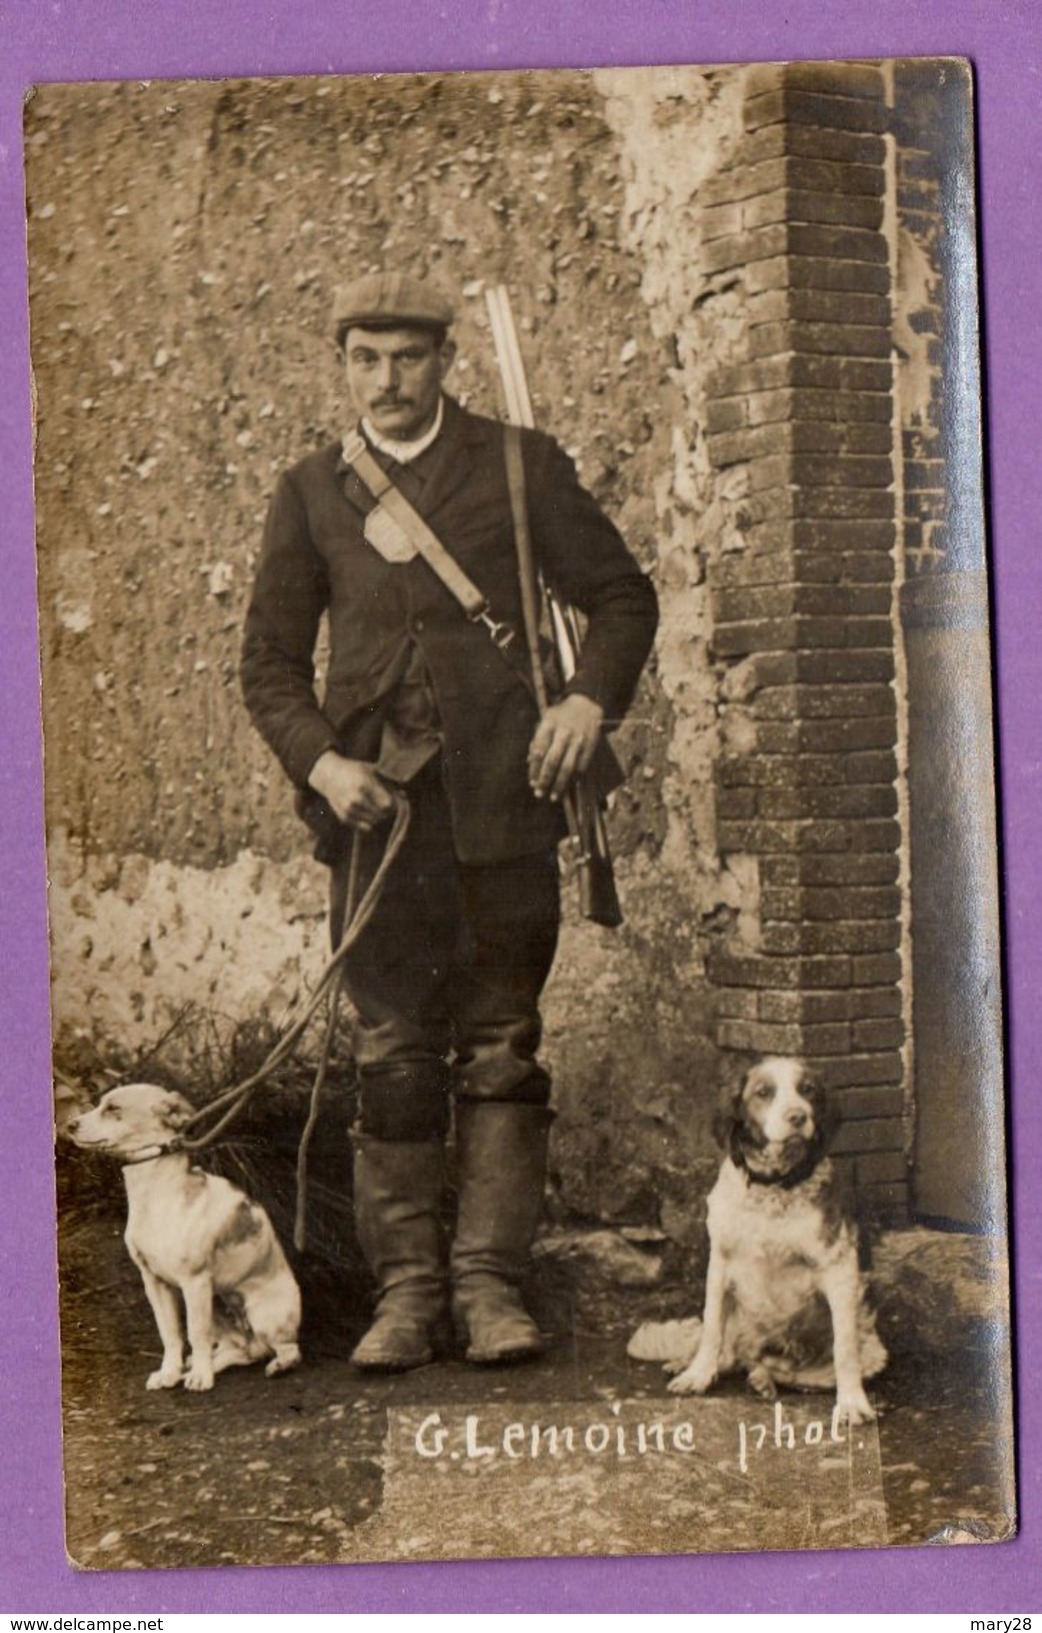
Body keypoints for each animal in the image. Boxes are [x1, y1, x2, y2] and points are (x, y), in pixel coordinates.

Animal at [68, 1084, 302, 1391]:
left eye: (113, 1109)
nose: (69, 1125)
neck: (156, 1196)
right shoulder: (154, 1283)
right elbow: (170, 1334)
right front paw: (169, 1372)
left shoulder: (195, 1283)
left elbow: (195, 1333)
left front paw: (201, 1377)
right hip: (217, 1305)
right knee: (242, 1350)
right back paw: (200, 1366)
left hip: (260, 1314)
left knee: (286, 1350)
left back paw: (272, 1365)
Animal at [633, 1064, 888, 1423]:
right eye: (763, 1093)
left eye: (807, 1089)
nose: (798, 1116)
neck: (774, 1185)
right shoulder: (720, 1263)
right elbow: (711, 1328)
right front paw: (697, 1375)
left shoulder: (839, 1267)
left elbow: (845, 1349)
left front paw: (852, 1402)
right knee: (727, 1353)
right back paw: (694, 1364)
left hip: (872, 1351)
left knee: (791, 1374)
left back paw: (762, 1380)